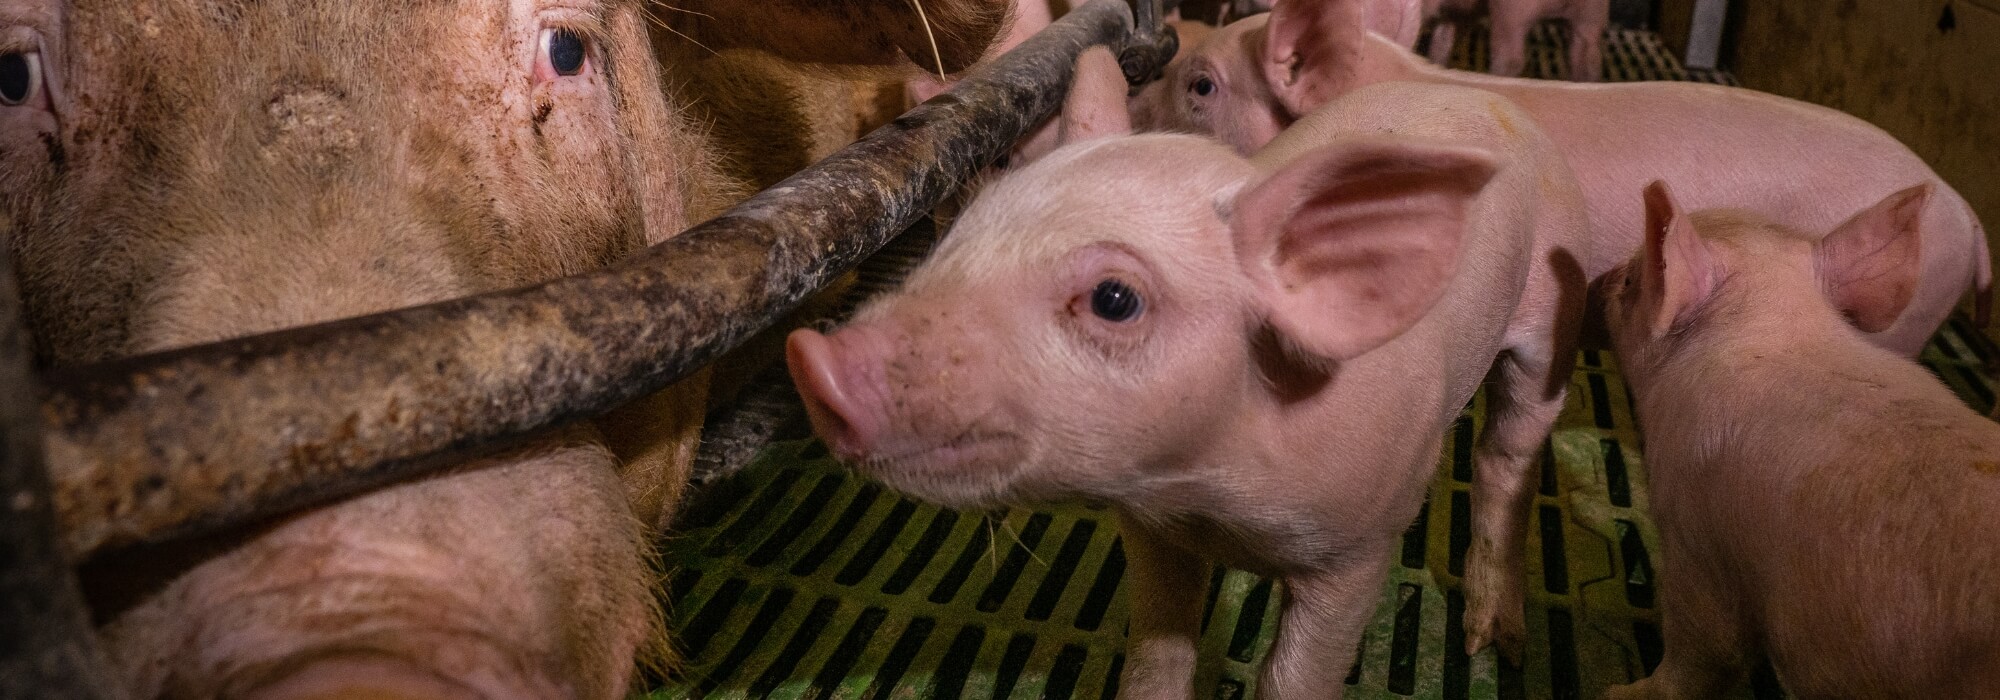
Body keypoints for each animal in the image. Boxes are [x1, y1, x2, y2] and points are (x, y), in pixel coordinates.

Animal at [788, 82, 1584, 696]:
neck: (1212, 495)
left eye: (1114, 299)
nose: (811, 359)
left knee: (1507, 452)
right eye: (959, 237)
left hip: (1550, 314)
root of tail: (1481, 93)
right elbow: (1155, 655)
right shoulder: (1152, 531)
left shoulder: (1362, 544)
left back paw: (1494, 643)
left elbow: (1294, 678)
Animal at [1600, 183, 2000, 696]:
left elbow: (1705, 649)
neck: (1780, 334)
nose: (1600, 278)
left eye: (1632, 280)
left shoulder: (1695, 532)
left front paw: (1617, 692)